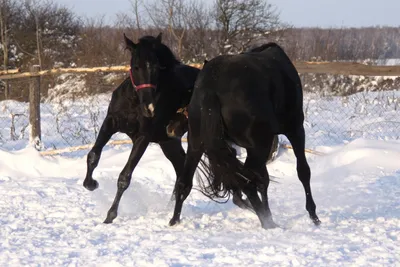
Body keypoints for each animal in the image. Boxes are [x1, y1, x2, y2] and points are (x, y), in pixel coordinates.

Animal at [170, 42, 322, 230]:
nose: (171, 128)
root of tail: (211, 85)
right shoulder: (295, 130)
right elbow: (303, 171)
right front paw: (313, 215)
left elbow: (263, 180)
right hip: (260, 146)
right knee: (248, 183)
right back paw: (267, 221)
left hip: (197, 144)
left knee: (184, 182)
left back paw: (174, 220)